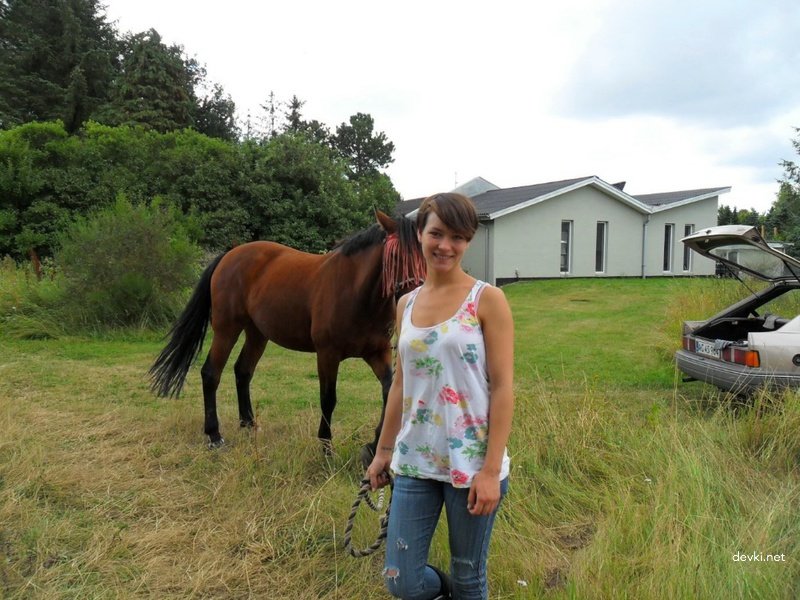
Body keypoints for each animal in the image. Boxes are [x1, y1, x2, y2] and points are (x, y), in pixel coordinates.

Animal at [148, 209, 424, 466]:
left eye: (426, 256)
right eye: (395, 257)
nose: (413, 300)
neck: (357, 292)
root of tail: (230, 254)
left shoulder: (378, 352)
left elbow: (390, 392)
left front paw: (373, 446)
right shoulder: (327, 354)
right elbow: (328, 399)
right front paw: (326, 449)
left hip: (257, 334)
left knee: (242, 371)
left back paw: (248, 423)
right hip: (227, 330)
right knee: (211, 373)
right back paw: (214, 435)